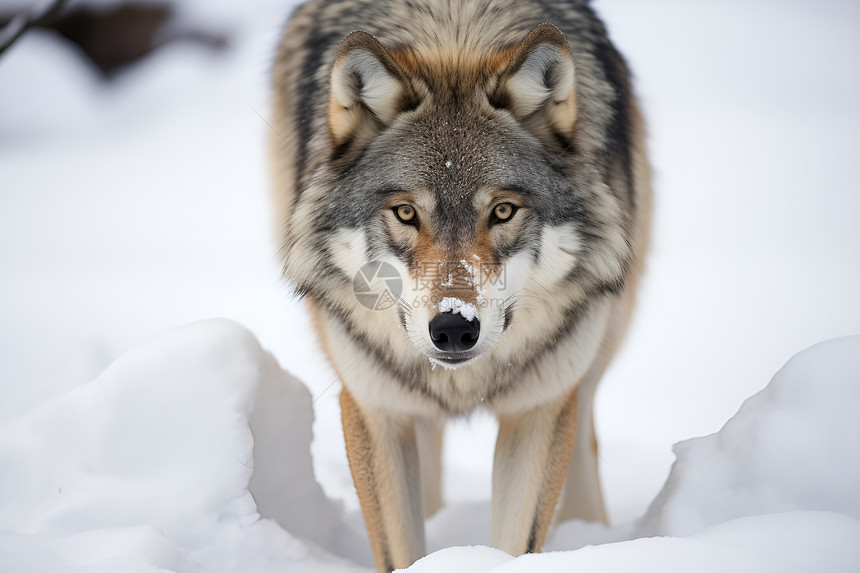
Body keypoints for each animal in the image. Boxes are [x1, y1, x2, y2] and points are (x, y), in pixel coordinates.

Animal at [272, 1, 648, 568]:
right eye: (406, 213)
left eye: (503, 211)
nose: (453, 327)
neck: (455, 35)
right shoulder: (374, 407)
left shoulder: (537, 410)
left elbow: (519, 541)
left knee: (585, 429)